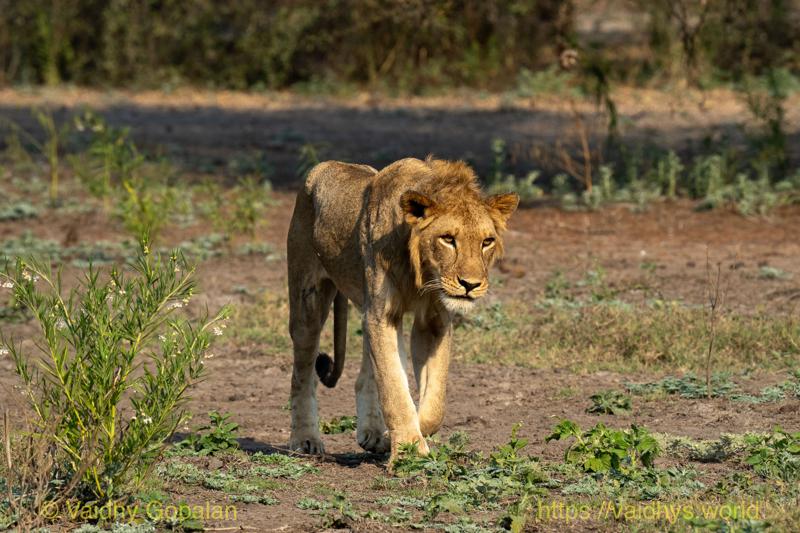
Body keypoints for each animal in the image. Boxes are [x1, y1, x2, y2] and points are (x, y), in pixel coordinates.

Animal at [286, 157, 518, 463]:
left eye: (486, 241)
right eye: (448, 239)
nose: (470, 284)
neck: (420, 272)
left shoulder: (433, 322)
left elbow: (434, 406)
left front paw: (391, 438)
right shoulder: (381, 315)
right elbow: (394, 389)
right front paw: (409, 451)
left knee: (365, 376)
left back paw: (372, 433)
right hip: (308, 300)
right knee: (303, 374)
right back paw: (305, 440)